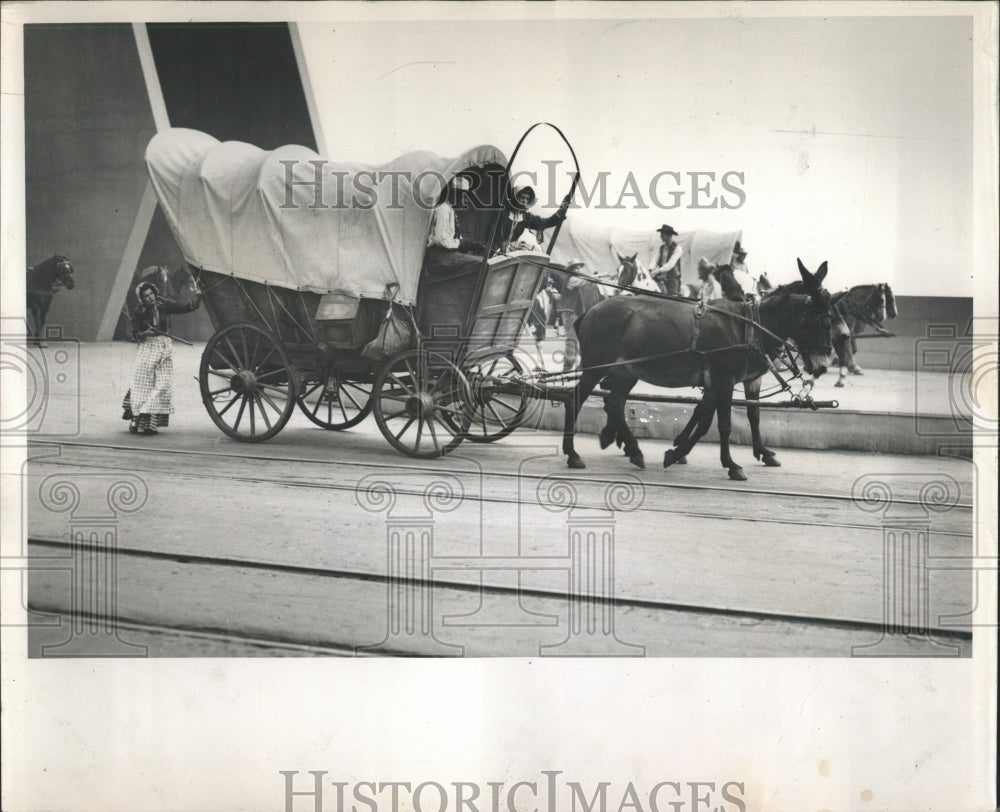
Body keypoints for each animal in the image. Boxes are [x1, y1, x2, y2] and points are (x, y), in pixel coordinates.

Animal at [144, 125, 576, 456]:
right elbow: (422, 396)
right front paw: (423, 421)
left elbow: (471, 386)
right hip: (256, 341)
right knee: (251, 371)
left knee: (326, 372)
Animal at [564, 260, 836, 478]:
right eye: (819, 322)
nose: (822, 365)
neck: (749, 325)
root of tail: (591, 310)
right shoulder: (724, 380)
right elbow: (724, 424)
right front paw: (731, 465)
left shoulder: (722, 382)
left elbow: (713, 420)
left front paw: (676, 453)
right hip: (596, 366)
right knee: (575, 398)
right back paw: (573, 453)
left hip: (626, 371)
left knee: (615, 403)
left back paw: (633, 450)